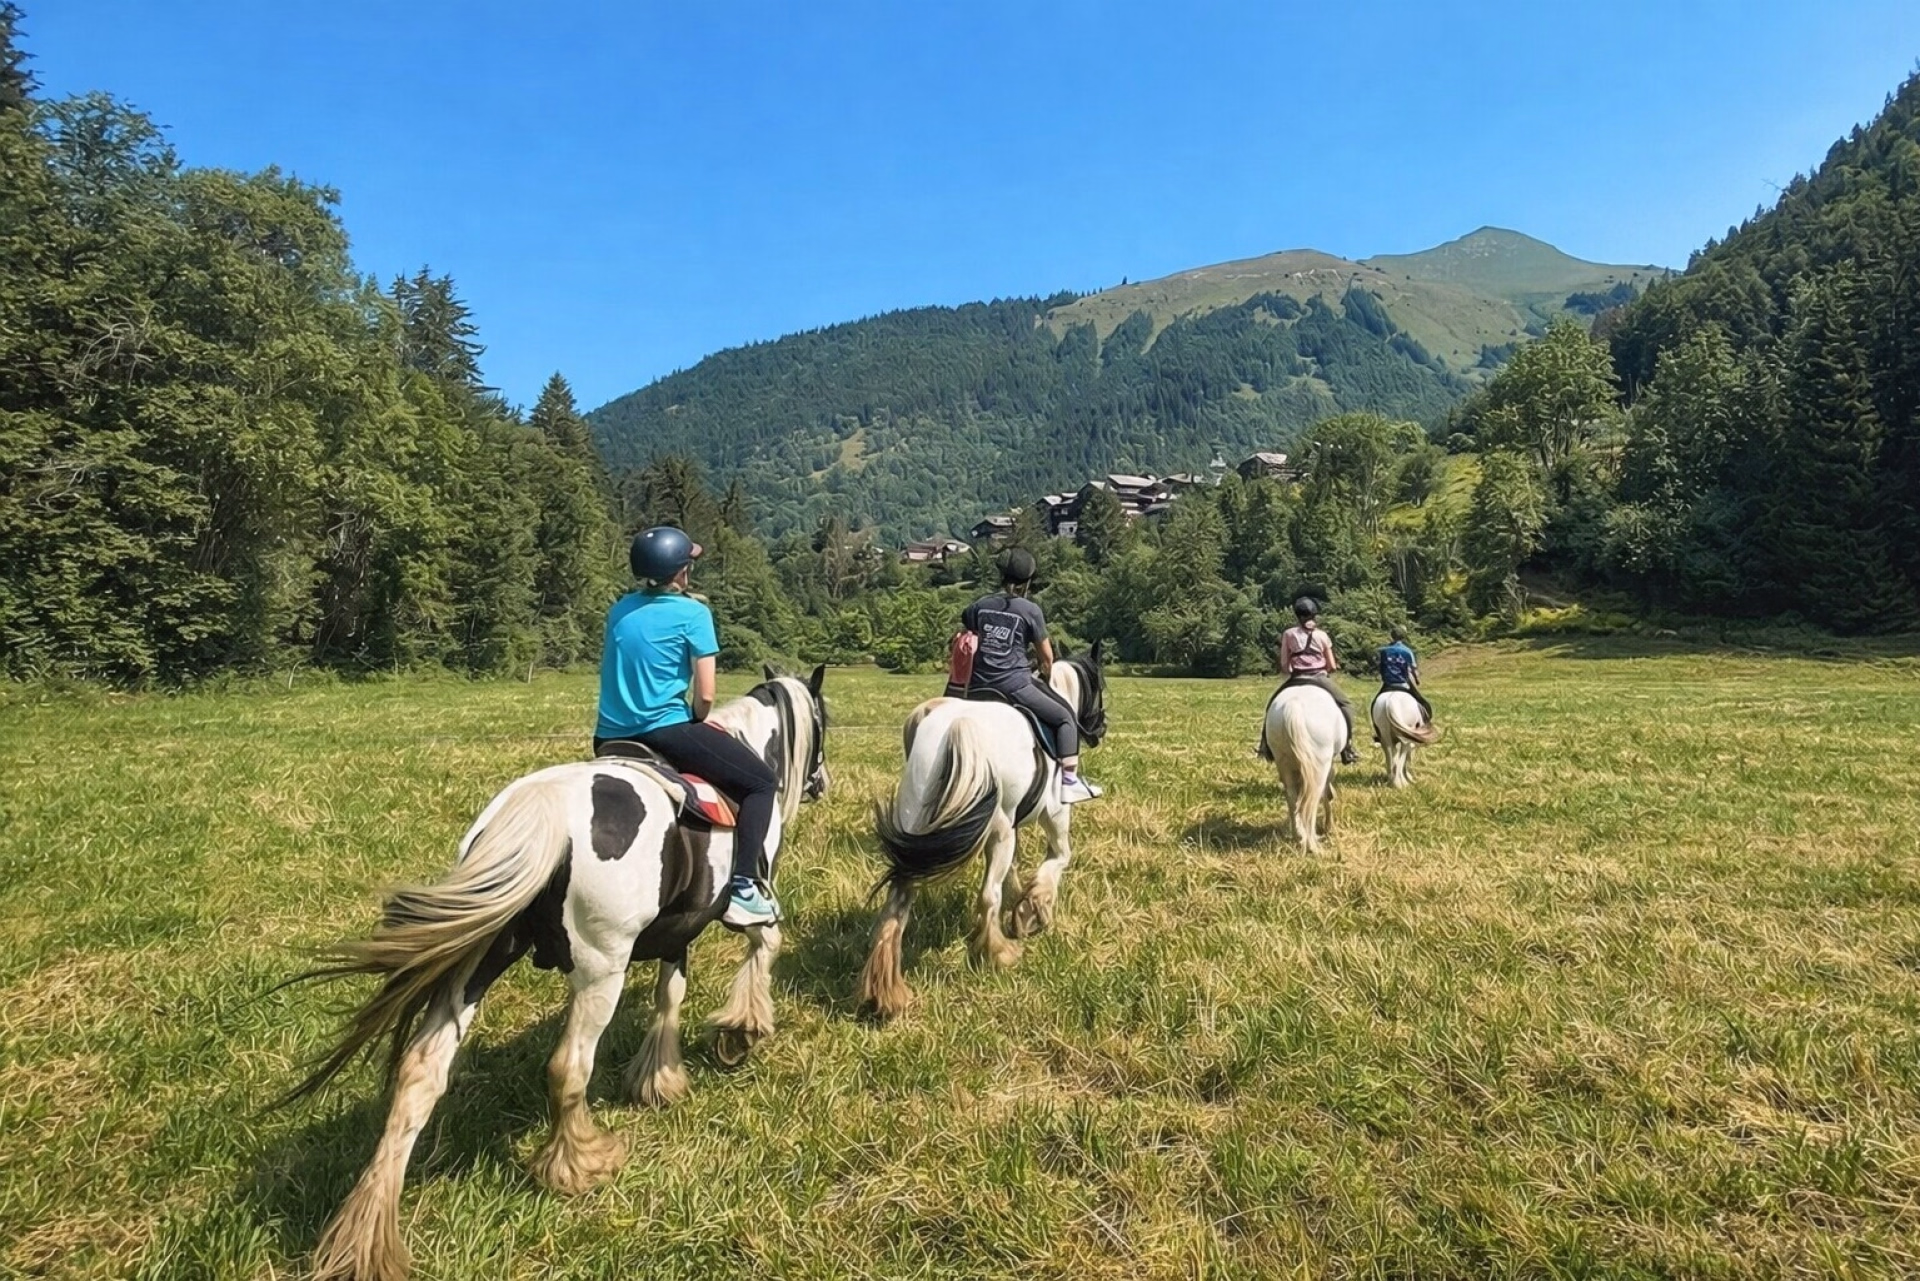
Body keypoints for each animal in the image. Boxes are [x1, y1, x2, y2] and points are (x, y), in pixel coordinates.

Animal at [284, 666, 828, 1281]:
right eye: (823, 720)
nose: (821, 781)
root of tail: (537, 810)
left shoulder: (675, 930)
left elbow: (670, 993)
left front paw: (658, 1078)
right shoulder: (733, 904)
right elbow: (763, 945)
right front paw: (741, 1030)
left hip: (477, 964)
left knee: (420, 1075)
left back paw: (365, 1235)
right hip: (601, 970)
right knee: (568, 1066)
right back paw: (581, 1162)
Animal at [857, 643, 1107, 1022]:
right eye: (1100, 685)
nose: (1100, 728)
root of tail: (956, 728)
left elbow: (1016, 873)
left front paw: (1023, 907)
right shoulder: (1054, 815)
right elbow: (1058, 860)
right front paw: (1034, 910)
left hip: (917, 825)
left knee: (897, 903)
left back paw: (886, 993)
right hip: (1000, 831)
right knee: (988, 895)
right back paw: (1000, 953)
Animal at [1264, 682, 1345, 852]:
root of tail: (1293, 705)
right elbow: (1328, 795)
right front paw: (1329, 827)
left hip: (1284, 763)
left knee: (1292, 796)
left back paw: (1298, 836)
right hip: (1319, 767)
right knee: (1312, 802)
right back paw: (1313, 846)